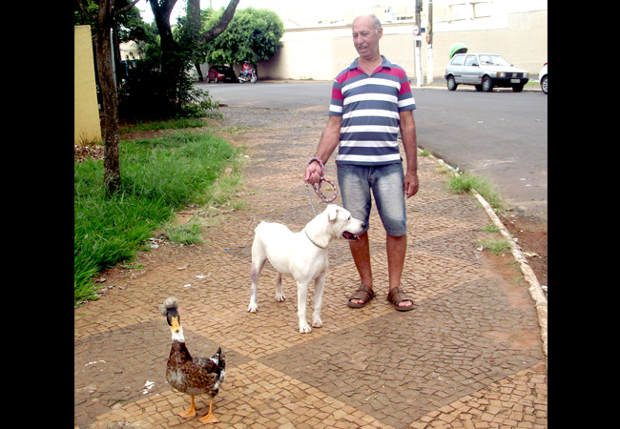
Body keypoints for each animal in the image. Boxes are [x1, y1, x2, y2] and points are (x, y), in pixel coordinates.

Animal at [247, 203, 364, 332]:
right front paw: (303, 326)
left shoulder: (321, 279)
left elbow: (318, 303)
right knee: (254, 285)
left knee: (278, 276)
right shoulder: (303, 284)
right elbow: (302, 308)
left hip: (279, 263)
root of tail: (263, 224)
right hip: (257, 264)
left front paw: (316, 321)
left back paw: (279, 294)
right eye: (348, 218)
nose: (364, 224)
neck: (316, 245)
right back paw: (253, 305)